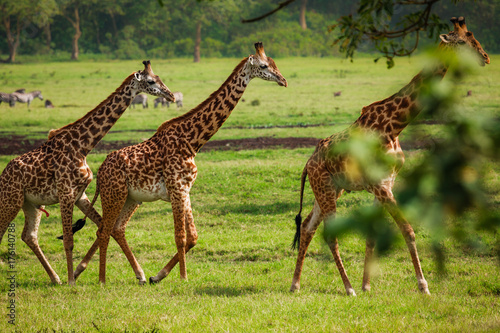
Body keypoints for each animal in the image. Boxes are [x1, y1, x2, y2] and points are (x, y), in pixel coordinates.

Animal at [0, 61, 176, 284]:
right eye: (151, 81)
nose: (171, 95)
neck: (83, 146)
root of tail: (3, 175)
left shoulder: (79, 195)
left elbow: (105, 227)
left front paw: (141, 274)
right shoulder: (66, 193)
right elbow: (68, 239)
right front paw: (71, 281)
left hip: (30, 203)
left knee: (29, 235)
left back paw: (55, 278)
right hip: (11, 200)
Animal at [72, 42, 288, 284]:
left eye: (274, 63)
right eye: (264, 66)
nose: (283, 80)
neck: (193, 141)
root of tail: (100, 171)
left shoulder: (185, 190)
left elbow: (192, 236)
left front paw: (159, 275)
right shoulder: (176, 189)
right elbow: (180, 236)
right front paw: (183, 277)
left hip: (130, 198)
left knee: (115, 228)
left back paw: (131, 275)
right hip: (114, 194)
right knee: (104, 230)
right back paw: (100, 279)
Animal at [290, 16, 488, 294]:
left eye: (474, 38)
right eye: (461, 41)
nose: (485, 57)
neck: (395, 125)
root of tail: (308, 164)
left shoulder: (387, 183)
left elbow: (373, 234)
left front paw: (367, 286)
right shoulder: (380, 185)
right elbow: (408, 229)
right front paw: (423, 286)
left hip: (330, 189)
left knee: (308, 227)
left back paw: (295, 284)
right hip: (326, 189)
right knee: (329, 234)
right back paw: (347, 288)